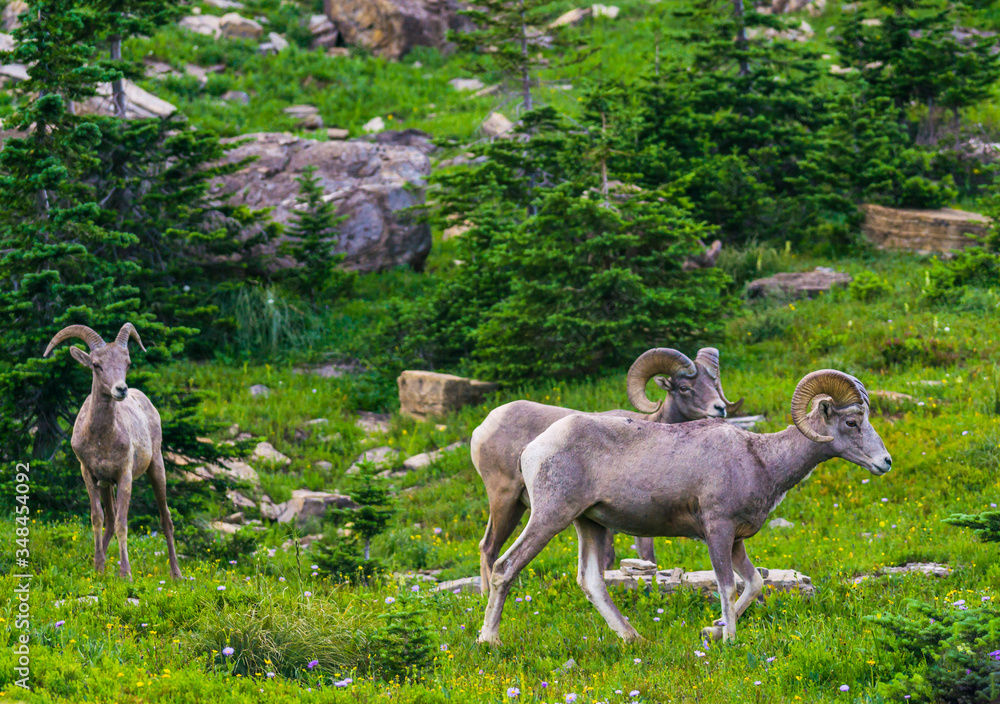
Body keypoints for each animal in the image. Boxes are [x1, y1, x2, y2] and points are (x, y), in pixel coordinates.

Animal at [44, 323, 182, 580]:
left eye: (127, 363)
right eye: (96, 364)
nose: (121, 389)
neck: (101, 440)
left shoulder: (124, 475)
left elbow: (121, 523)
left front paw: (125, 574)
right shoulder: (90, 474)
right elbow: (98, 518)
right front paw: (98, 568)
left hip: (156, 467)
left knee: (165, 519)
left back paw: (176, 574)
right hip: (107, 485)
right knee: (108, 518)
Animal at [471, 347, 743, 593]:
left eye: (713, 382)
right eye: (684, 387)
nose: (719, 408)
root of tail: (483, 428)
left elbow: (646, 556)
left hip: (518, 505)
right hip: (504, 499)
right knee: (490, 547)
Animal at [477, 370, 891, 645]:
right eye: (852, 422)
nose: (885, 462)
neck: (761, 459)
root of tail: (533, 449)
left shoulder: (737, 540)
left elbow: (754, 583)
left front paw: (714, 630)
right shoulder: (717, 530)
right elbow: (727, 585)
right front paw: (728, 641)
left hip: (588, 524)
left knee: (591, 581)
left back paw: (634, 639)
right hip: (549, 517)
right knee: (505, 566)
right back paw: (489, 641)